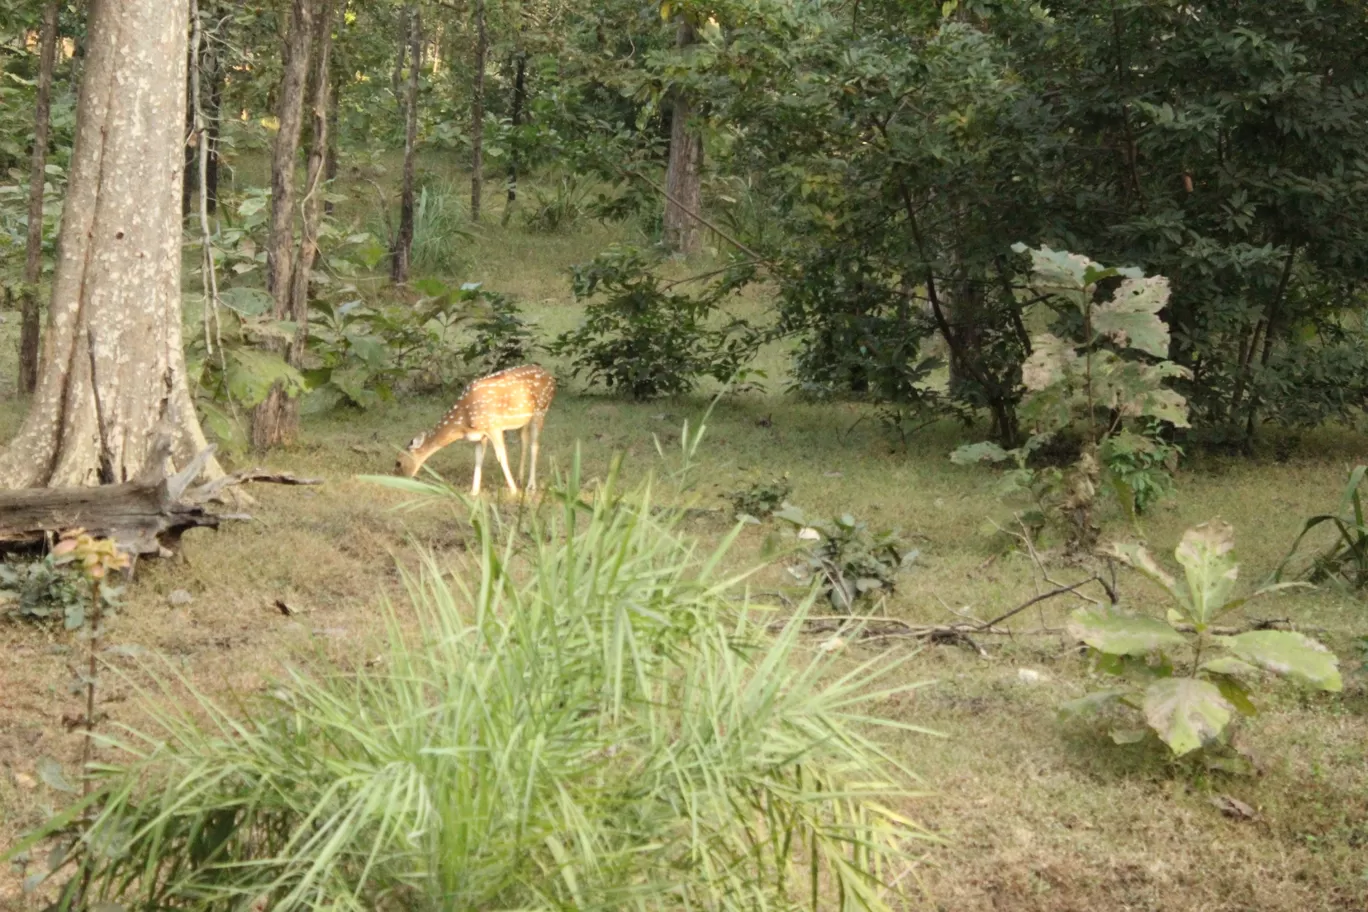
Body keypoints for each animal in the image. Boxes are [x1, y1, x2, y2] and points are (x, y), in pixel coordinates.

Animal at [399, 363, 558, 494]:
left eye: (398, 462)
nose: (398, 477)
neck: (463, 422)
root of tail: (550, 376)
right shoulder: (479, 435)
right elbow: (478, 458)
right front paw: (474, 492)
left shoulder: (494, 426)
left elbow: (502, 456)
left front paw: (513, 491)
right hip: (522, 420)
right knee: (524, 441)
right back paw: (520, 479)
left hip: (541, 410)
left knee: (534, 445)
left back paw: (531, 486)